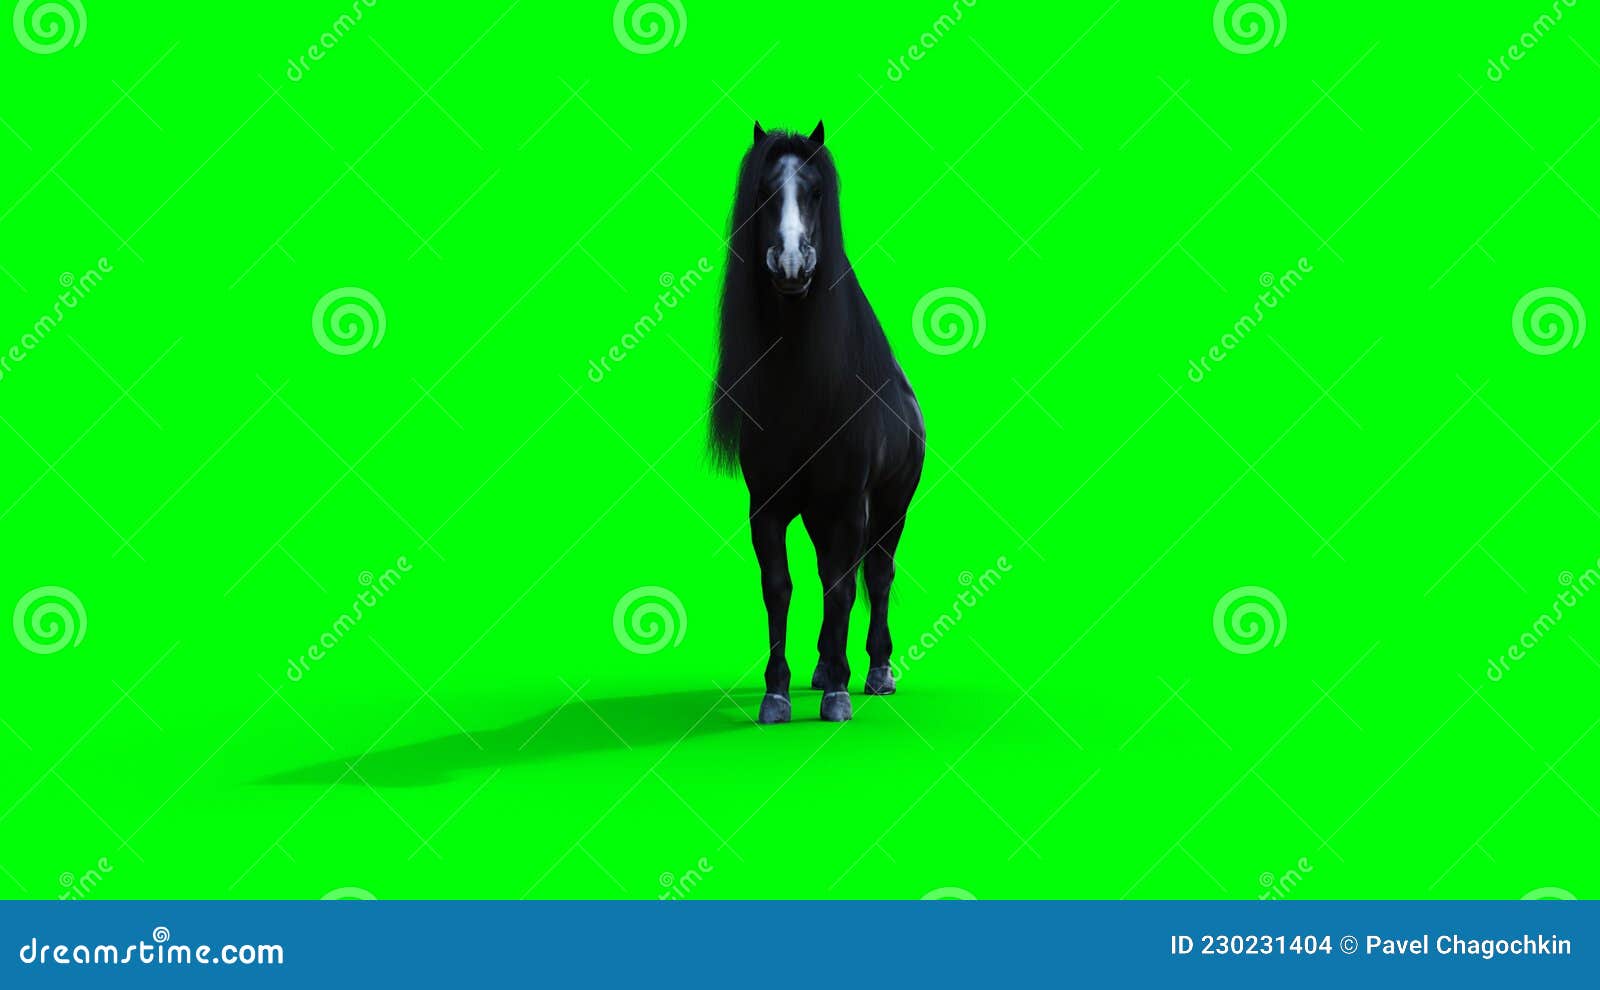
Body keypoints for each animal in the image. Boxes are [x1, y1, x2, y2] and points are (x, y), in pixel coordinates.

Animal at [710, 120, 926, 724]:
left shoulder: (851, 504)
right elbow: (779, 587)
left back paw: (874, 672)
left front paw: (837, 697)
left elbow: (843, 588)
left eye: (815, 193)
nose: (790, 265)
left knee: (875, 575)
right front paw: (777, 693)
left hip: (890, 507)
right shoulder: (767, 507)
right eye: (763, 194)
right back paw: (827, 667)